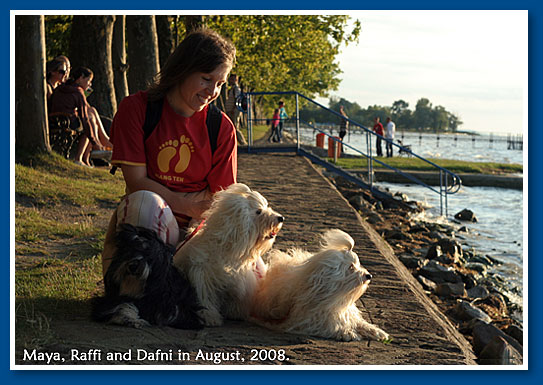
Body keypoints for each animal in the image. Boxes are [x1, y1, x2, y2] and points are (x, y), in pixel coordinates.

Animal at [173, 182, 284, 324]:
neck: (229, 248)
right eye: (258, 211)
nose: (280, 218)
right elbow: (205, 296)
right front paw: (209, 316)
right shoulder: (202, 273)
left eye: (266, 206)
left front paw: (235, 312)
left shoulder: (240, 279)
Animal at [251, 228, 392, 342]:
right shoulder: (306, 320)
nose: (369, 276)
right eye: (351, 267)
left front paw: (376, 331)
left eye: (358, 264)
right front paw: (347, 332)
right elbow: (327, 326)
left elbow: (359, 322)